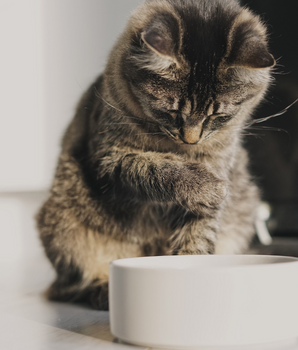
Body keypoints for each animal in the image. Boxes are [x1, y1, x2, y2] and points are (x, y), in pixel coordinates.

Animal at [36, 0, 274, 312]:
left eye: (217, 115)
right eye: (172, 111)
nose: (191, 138)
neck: (179, 149)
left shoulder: (218, 165)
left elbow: (198, 236)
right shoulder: (109, 158)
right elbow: (155, 168)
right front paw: (205, 185)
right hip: (63, 226)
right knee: (71, 287)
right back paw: (103, 291)